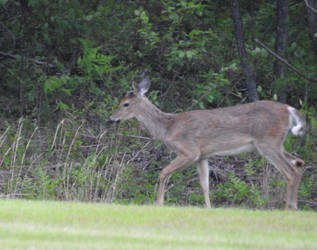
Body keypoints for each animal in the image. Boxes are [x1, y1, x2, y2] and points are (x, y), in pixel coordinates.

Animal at [107, 76, 304, 209]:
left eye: (125, 104)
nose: (111, 119)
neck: (168, 128)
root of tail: (289, 109)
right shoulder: (202, 156)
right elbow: (205, 185)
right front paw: (208, 208)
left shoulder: (189, 151)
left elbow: (163, 172)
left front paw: (159, 203)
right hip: (275, 143)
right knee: (299, 162)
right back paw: (293, 206)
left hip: (267, 143)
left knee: (290, 171)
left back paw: (288, 208)